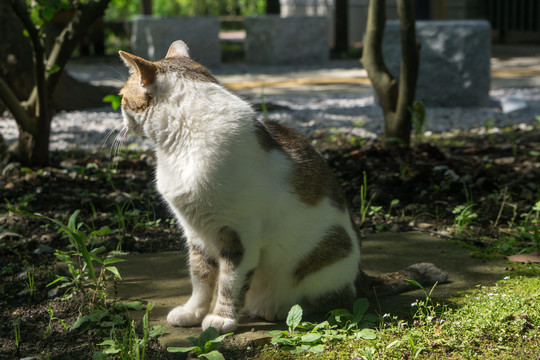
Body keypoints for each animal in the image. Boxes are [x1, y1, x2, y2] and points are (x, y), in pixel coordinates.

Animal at [118, 40, 448, 334]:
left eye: (121, 97)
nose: (120, 114)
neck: (181, 143)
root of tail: (360, 275)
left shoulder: (239, 235)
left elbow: (229, 282)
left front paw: (222, 319)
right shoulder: (196, 232)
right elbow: (200, 278)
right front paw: (193, 312)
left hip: (324, 259)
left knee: (339, 299)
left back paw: (275, 309)